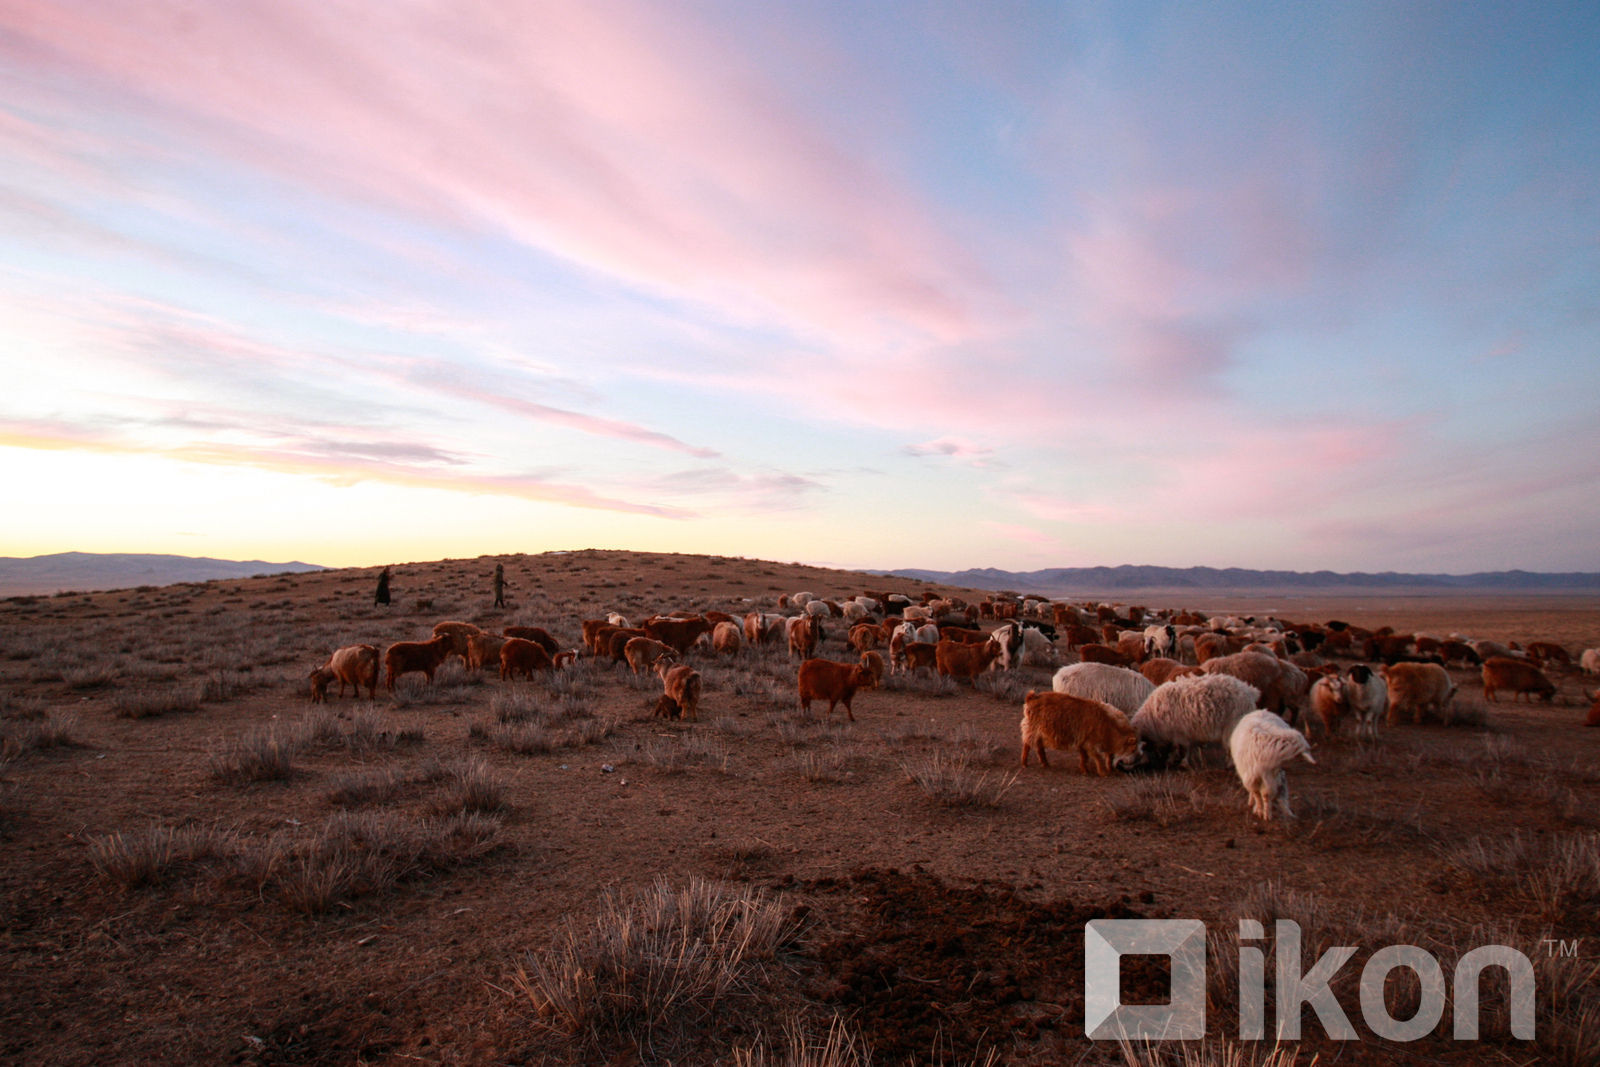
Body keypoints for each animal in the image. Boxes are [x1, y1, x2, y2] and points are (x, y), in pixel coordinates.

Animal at [1126, 675, 1260, 767]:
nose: (1124, 766)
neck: (1152, 716)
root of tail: (1250, 691)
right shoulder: (1186, 733)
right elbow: (1186, 747)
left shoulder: (1180, 733)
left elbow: (1182, 748)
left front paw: (1181, 762)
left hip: (1232, 726)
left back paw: (1230, 764)